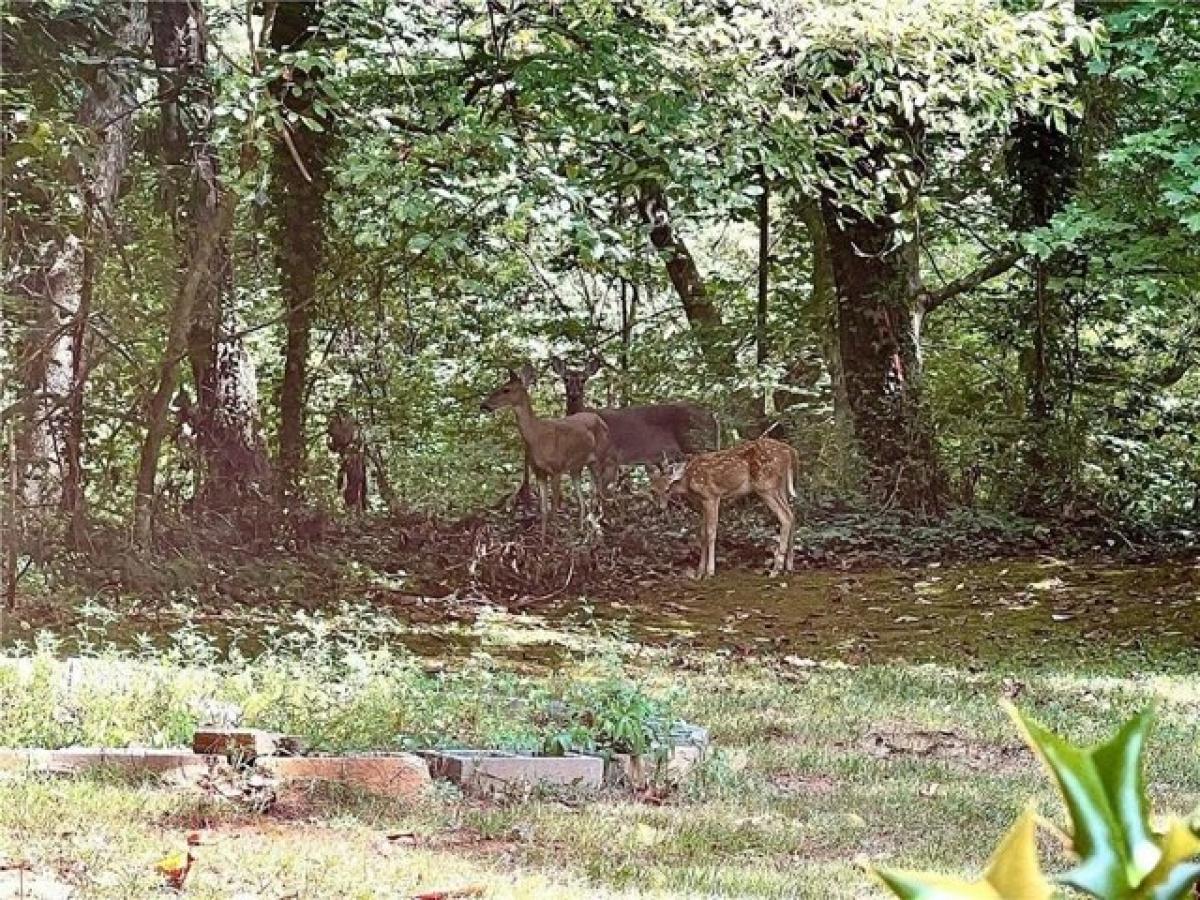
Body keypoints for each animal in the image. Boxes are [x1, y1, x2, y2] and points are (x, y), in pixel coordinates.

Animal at [480, 364, 609, 535]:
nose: (483, 405)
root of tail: (600, 420)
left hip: (599, 458)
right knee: (583, 500)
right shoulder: (539, 472)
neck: (537, 436)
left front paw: (554, 538)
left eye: (506, 389)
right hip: (576, 466)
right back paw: (582, 531)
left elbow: (554, 509)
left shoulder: (557, 469)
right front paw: (543, 539)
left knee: (599, 493)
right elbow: (543, 510)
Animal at [549, 355, 715, 489]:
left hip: (696, 442)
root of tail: (712, 417)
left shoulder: (611, 456)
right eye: (565, 379)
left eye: (583, 379)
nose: (574, 394)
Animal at [648, 436, 796, 578]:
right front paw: (699, 572)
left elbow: (711, 532)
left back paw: (776, 570)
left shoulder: (711, 496)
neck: (688, 481)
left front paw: (710, 572)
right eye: (653, 490)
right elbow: (702, 534)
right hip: (780, 486)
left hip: (765, 485)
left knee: (785, 517)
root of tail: (790, 452)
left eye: (667, 489)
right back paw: (789, 566)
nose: (660, 508)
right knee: (791, 514)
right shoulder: (702, 503)